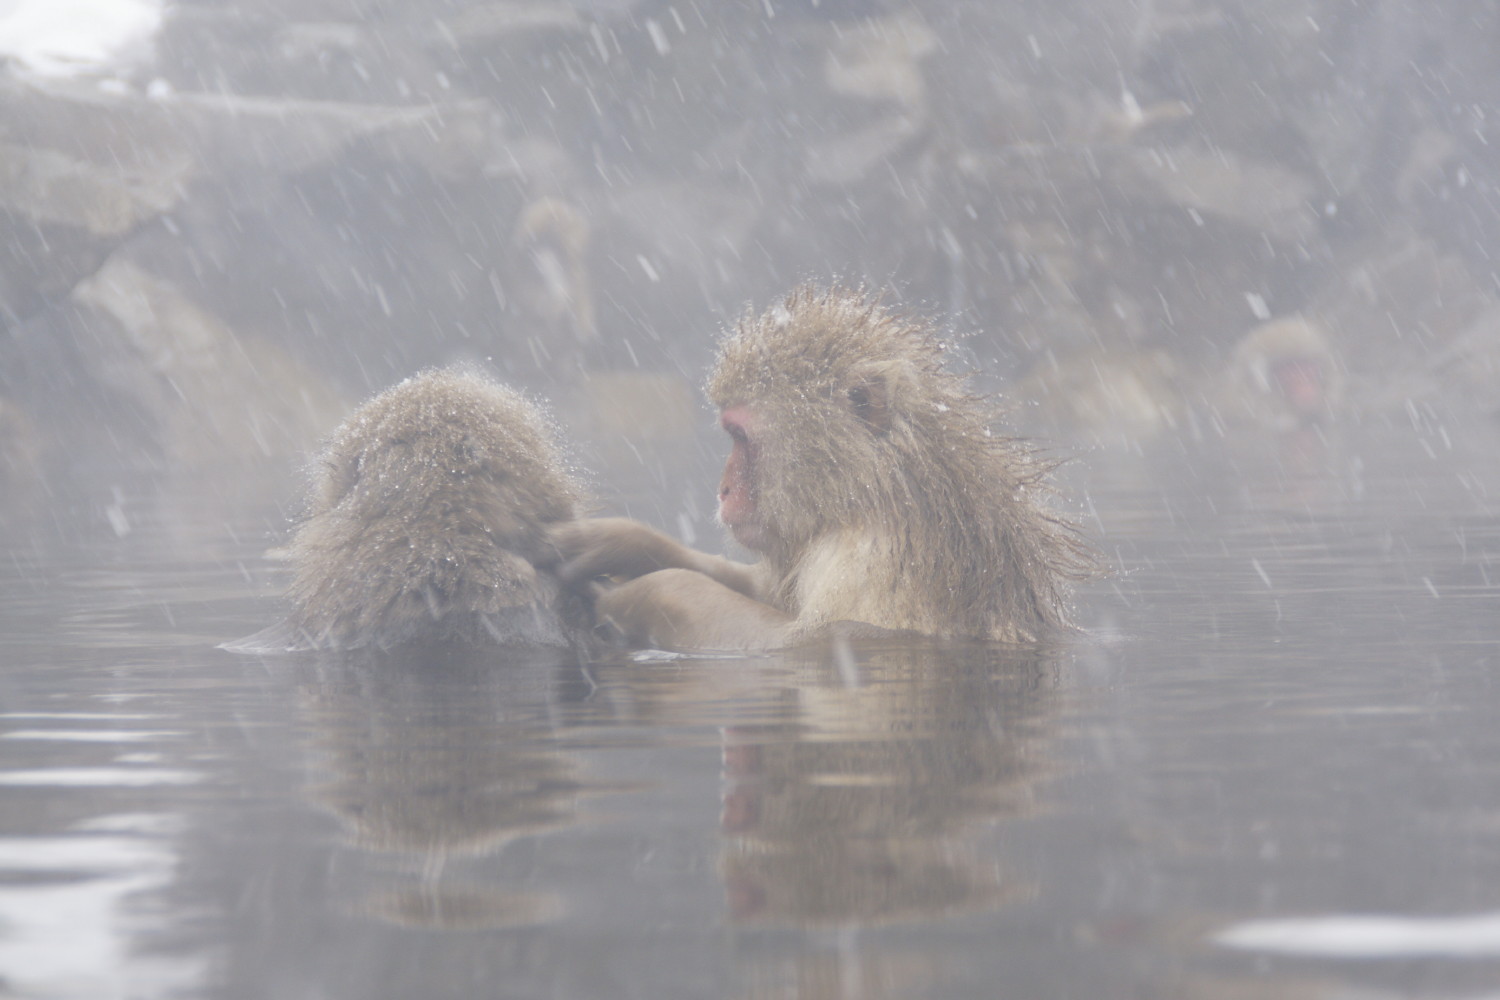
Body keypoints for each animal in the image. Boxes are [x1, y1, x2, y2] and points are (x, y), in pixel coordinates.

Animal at [558, 284, 1098, 653]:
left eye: (740, 437)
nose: (723, 490)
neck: (871, 489)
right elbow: (768, 592)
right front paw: (625, 543)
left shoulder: (873, 556)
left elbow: (820, 643)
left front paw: (646, 594)